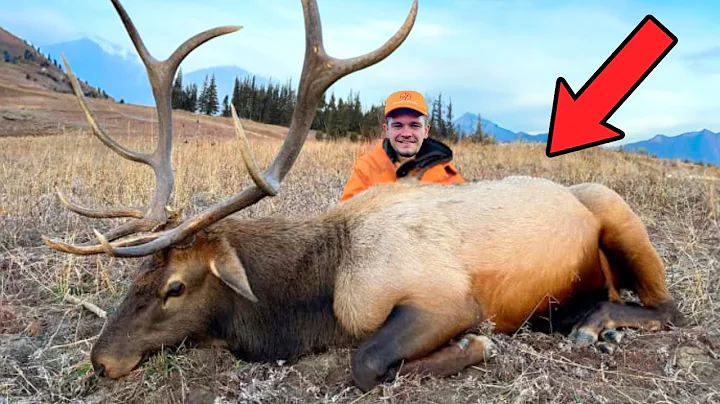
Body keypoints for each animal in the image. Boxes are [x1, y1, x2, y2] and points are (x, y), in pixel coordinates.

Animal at [44, 0, 685, 393]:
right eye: (138, 278)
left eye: (175, 287)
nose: (101, 360)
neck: (315, 297)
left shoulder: (443, 299)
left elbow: (367, 360)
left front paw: (474, 346)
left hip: (613, 208)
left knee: (668, 308)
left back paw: (595, 327)